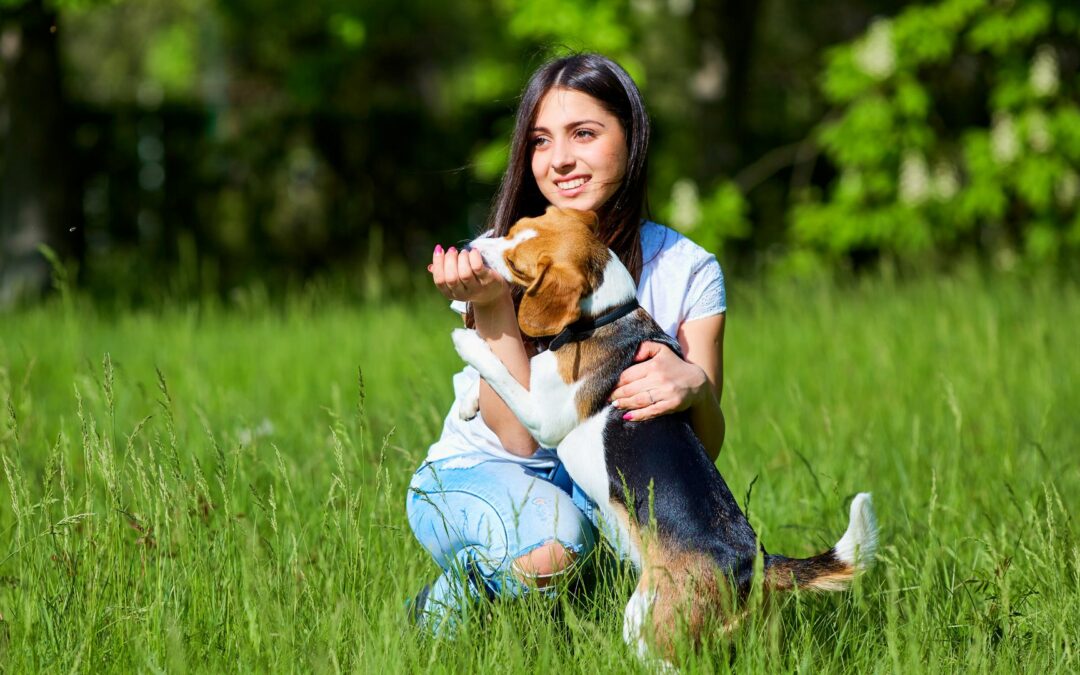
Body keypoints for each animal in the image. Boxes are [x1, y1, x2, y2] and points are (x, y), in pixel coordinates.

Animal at [447, 205, 876, 656]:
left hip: (646, 617)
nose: (472, 248)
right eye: (512, 231)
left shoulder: (545, 419)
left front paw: (468, 342)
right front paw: (469, 403)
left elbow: (504, 372)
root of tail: (750, 562)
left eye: (517, 264)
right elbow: (513, 370)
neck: (605, 315)